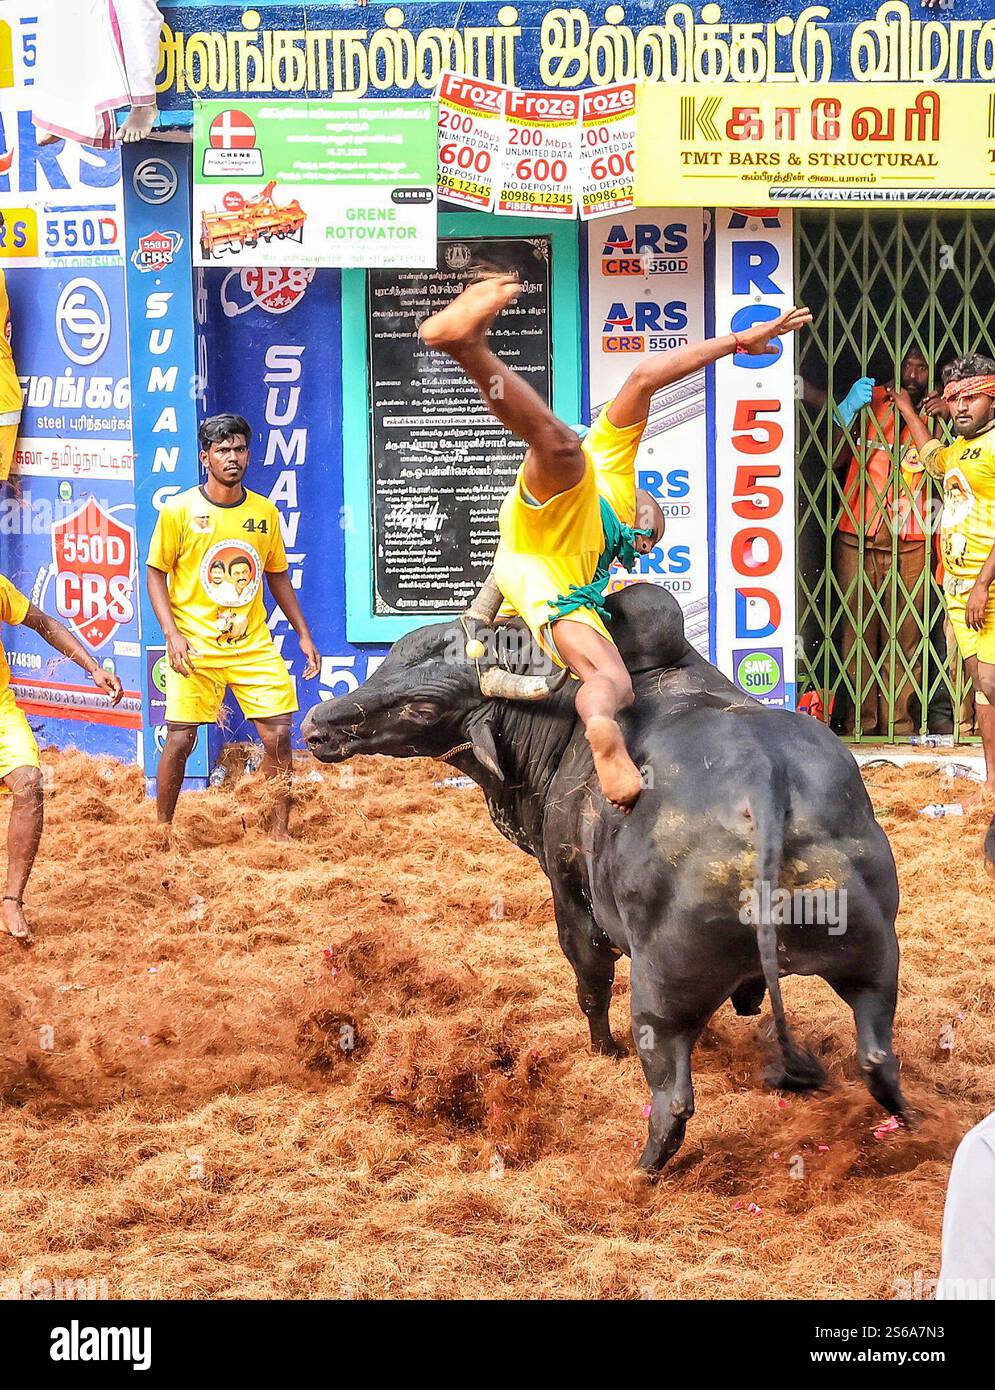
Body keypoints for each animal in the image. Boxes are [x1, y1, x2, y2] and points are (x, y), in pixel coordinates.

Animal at [302, 581, 911, 1167]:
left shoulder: (571, 900)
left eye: (423, 708)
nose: (316, 726)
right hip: (875, 962)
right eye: (395, 654)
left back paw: (642, 1166)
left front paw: (603, 1050)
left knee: (672, 1096)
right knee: (878, 1058)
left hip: (662, 988)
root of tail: (765, 788)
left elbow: (590, 985)